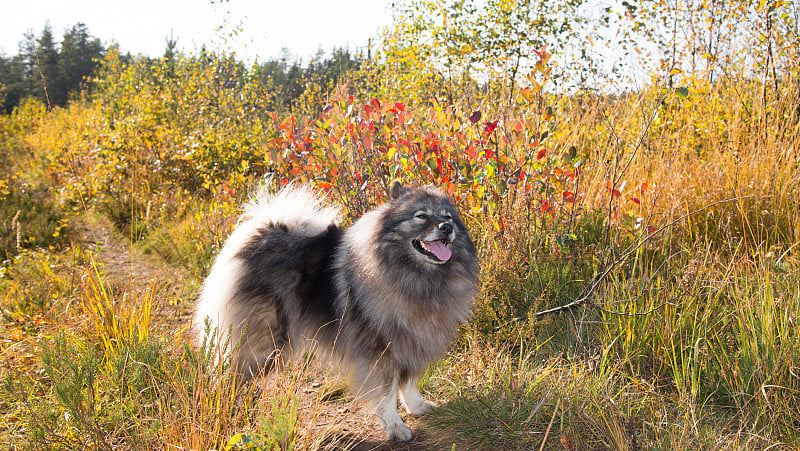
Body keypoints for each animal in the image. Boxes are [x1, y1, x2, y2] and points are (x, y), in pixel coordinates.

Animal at [194, 181, 478, 442]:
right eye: (421, 216)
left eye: (448, 217)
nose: (447, 228)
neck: (417, 277)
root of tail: (266, 231)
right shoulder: (379, 349)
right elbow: (386, 393)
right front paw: (395, 427)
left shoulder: (412, 339)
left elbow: (409, 381)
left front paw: (416, 406)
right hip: (263, 344)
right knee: (228, 377)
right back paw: (225, 411)